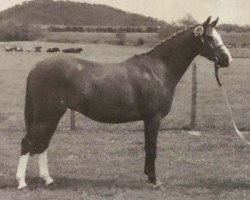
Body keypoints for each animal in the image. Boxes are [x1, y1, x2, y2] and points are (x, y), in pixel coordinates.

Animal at [16, 16, 232, 189]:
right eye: (210, 38)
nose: (227, 59)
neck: (157, 70)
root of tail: (36, 67)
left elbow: (148, 148)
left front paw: (149, 176)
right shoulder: (153, 118)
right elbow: (151, 149)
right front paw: (154, 180)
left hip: (53, 116)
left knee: (43, 144)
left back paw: (48, 179)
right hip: (46, 116)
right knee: (28, 142)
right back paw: (21, 182)